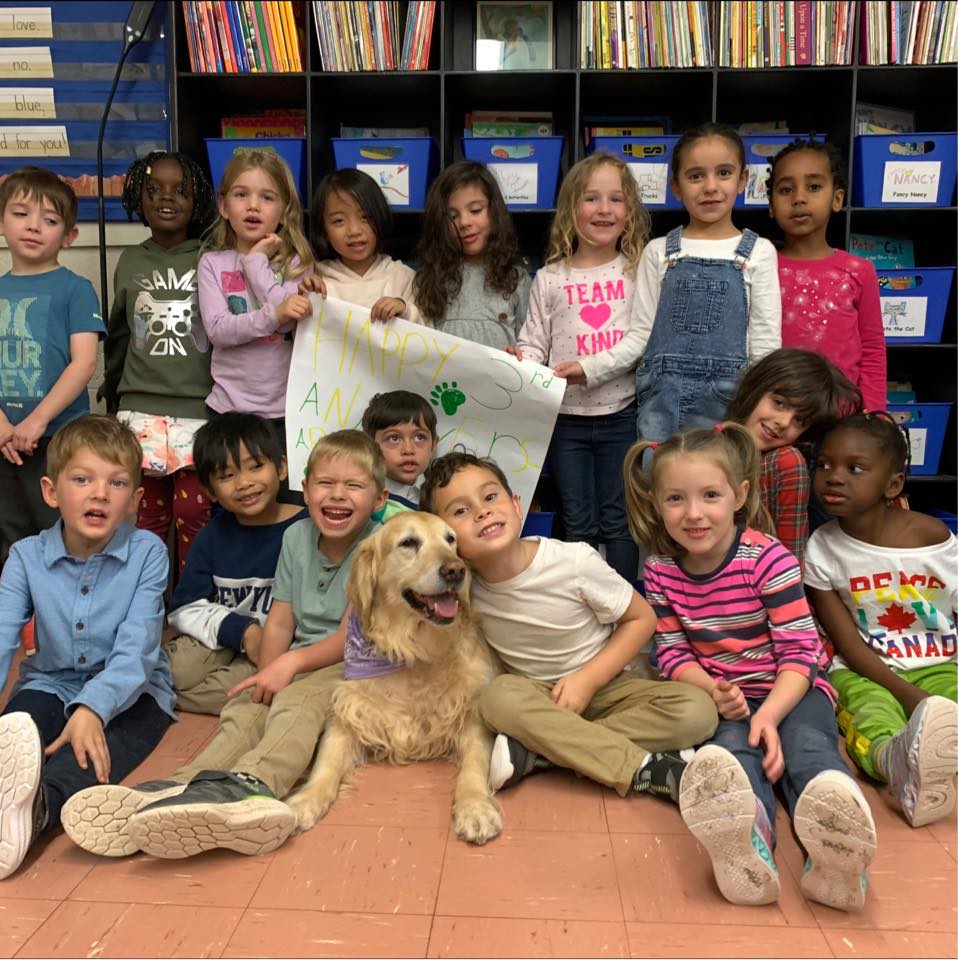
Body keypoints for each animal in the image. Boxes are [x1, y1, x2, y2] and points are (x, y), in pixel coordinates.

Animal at [288, 512, 506, 844]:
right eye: (408, 542)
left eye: (451, 540)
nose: (456, 570)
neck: (413, 650)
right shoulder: (348, 715)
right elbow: (325, 765)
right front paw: (303, 802)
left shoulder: (472, 715)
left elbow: (473, 765)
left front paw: (475, 809)